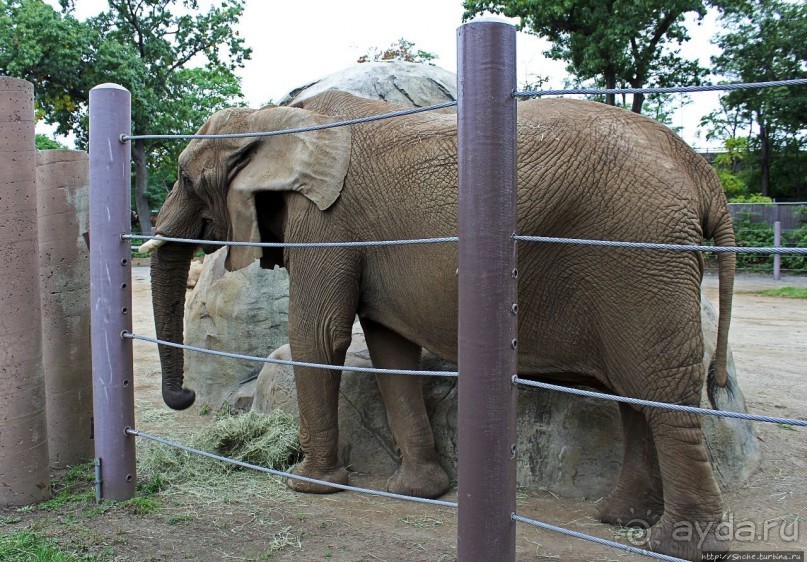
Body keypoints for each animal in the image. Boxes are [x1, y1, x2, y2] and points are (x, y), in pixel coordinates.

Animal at [145, 89, 740, 556]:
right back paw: (618, 517)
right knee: (635, 389)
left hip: (641, 255)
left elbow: (319, 335)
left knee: (660, 386)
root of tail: (703, 173)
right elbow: (389, 347)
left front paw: (309, 486)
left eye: (184, 178)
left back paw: (678, 544)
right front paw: (416, 491)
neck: (276, 115)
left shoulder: (326, 220)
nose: (184, 399)